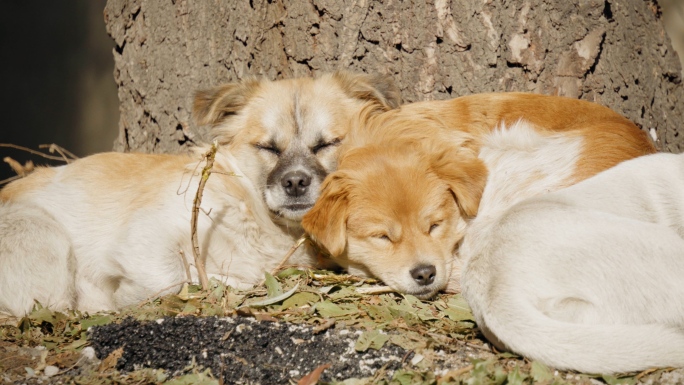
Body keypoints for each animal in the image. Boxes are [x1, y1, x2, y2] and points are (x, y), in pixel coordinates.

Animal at [0, 70, 400, 316]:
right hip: (42, 235)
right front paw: (128, 297)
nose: (295, 182)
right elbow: (170, 279)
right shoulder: (143, 236)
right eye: (268, 147)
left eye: (326, 145)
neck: (255, 220)